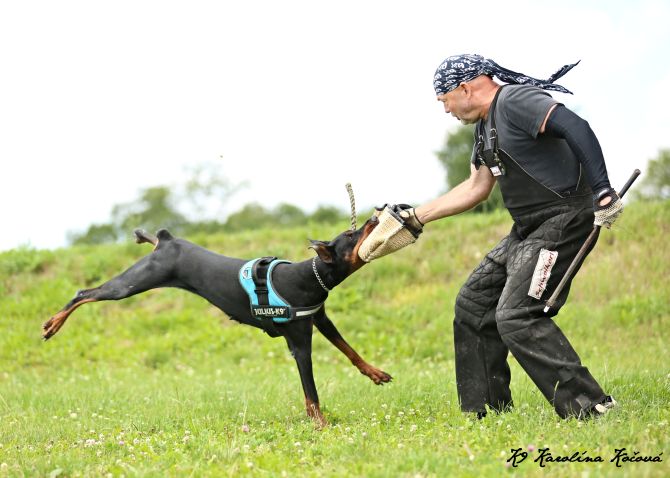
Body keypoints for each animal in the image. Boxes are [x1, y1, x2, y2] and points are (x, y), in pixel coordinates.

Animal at [42, 216, 391, 427]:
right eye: (351, 234)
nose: (375, 216)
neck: (311, 275)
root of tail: (166, 240)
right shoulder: (299, 341)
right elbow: (312, 393)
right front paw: (320, 425)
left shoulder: (319, 318)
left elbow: (349, 350)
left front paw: (375, 373)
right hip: (130, 283)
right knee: (85, 292)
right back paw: (53, 324)